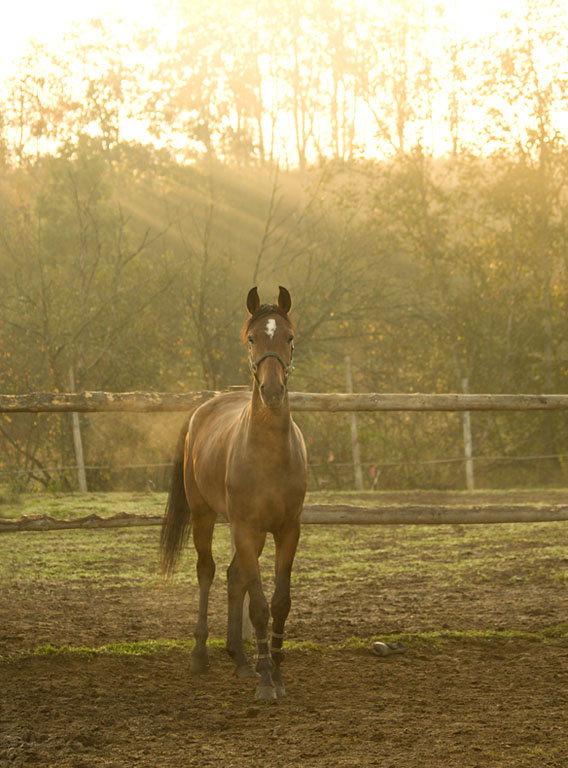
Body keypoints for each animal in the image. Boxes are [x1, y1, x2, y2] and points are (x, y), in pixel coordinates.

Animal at [160, 286, 307, 700]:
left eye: (289, 337)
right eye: (252, 338)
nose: (272, 390)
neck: (269, 454)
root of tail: (202, 410)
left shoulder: (288, 530)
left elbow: (279, 602)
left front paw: (276, 669)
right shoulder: (243, 527)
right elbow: (257, 605)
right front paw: (267, 681)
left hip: (252, 535)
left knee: (232, 577)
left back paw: (241, 660)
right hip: (205, 517)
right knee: (208, 571)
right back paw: (201, 654)